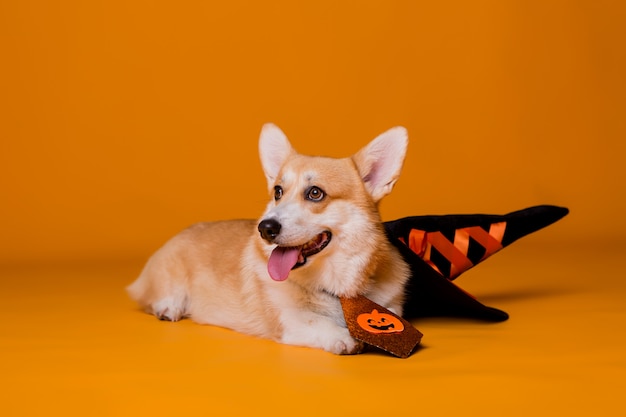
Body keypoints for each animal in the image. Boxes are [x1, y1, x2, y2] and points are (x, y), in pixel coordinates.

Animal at [127, 123, 410, 354]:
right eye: (278, 192)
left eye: (315, 193)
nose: (265, 228)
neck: (337, 288)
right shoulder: (290, 319)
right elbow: (317, 321)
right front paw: (345, 337)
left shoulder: (392, 306)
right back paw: (168, 307)